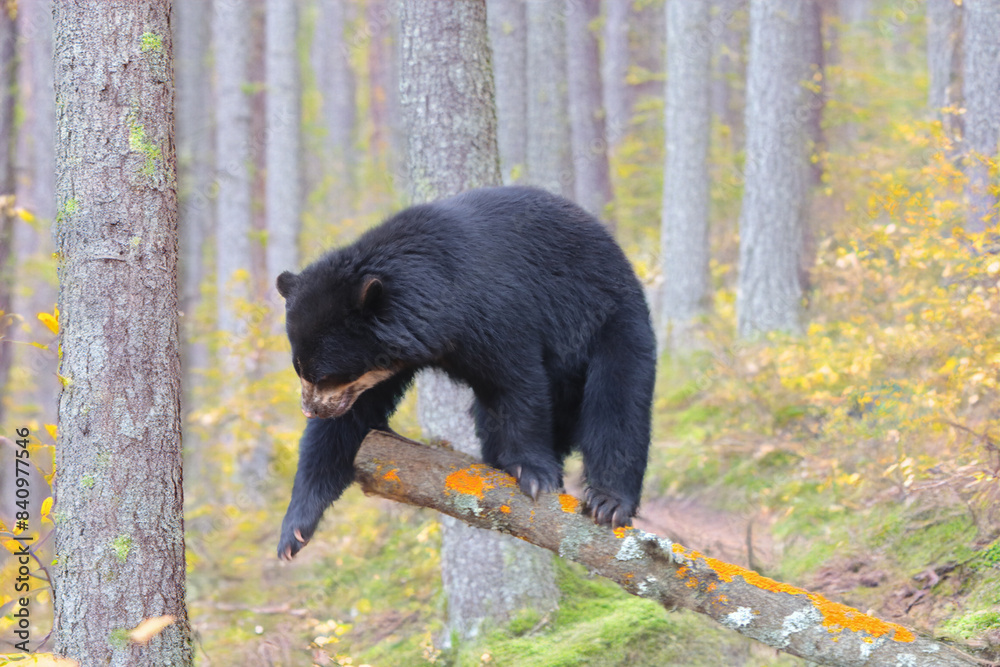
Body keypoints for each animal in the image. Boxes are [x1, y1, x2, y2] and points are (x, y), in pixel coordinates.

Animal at [275, 186, 656, 560]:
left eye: (327, 376)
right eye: (301, 370)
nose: (311, 409)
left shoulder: (495, 307)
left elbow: (517, 384)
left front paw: (532, 473)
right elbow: (342, 428)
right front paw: (294, 532)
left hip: (612, 320)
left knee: (619, 404)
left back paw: (609, 502)